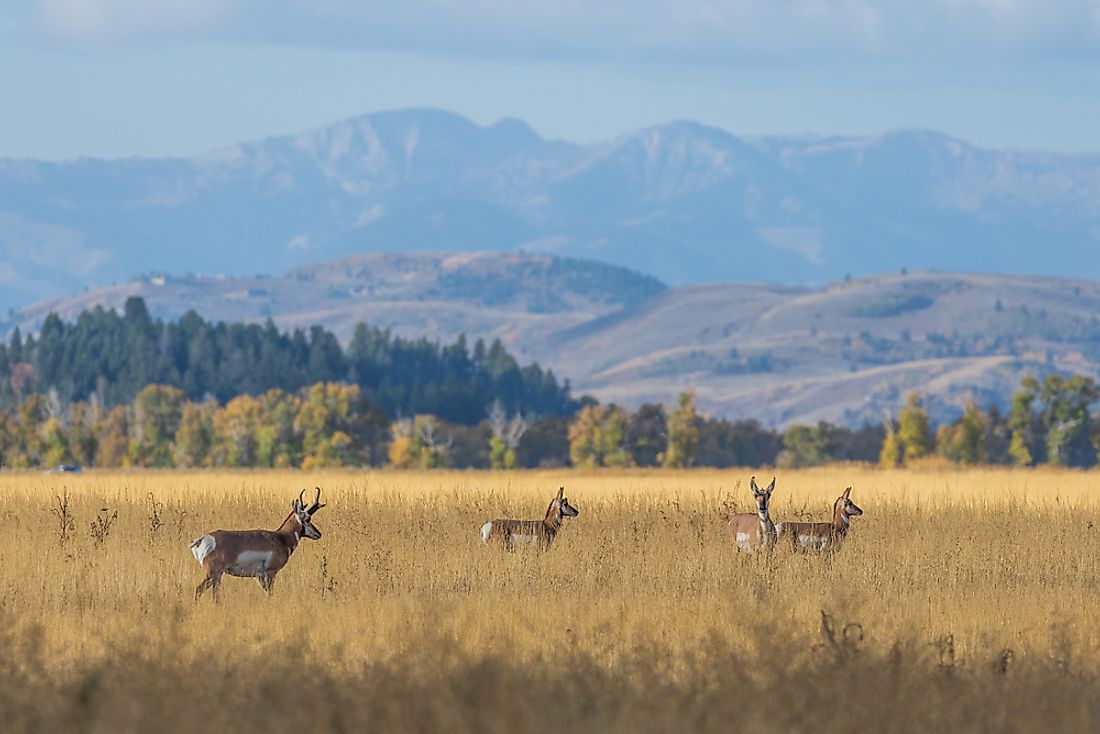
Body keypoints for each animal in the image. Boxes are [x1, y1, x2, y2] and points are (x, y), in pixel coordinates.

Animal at [189, 484, 323, 598]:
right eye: (308, 519)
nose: (318, 534)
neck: (280, 537)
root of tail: (203, 539)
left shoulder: (259, 577)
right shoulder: (271, 573)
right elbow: (270, 594)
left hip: (216, 576)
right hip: (213, 574)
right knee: (199, 590)